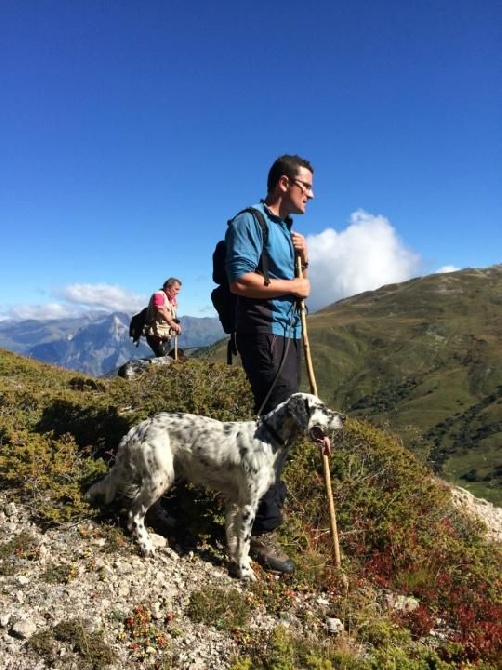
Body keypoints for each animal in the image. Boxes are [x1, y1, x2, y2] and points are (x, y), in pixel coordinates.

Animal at [87, 396, 346, 580]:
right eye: (321, 407)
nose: (343, 417)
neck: (269, 438)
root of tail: (136, 429)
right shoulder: (248, 504)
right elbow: (245, 540)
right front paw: (245, 571)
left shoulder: (234, 500)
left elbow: (234, 538)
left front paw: (237, 560)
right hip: (160, 476)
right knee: (135, 512)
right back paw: (145, 543)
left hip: (163, 475)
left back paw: (167, 520)